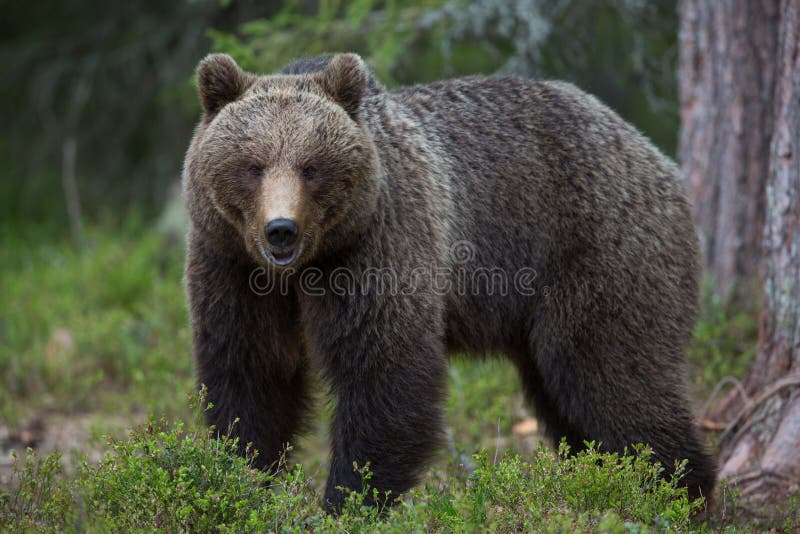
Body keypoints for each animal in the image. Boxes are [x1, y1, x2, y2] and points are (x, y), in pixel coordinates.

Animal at [184, 52, 716, 512]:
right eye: (253, 166)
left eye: (311, 167)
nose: (281, 229)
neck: (299, 271)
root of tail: (657, 158)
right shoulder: (232, 267)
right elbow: (250, 377)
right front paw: (243, 478)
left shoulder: (376, 246)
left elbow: (386, 373)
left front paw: (348, 501)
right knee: (566, 398)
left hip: (597, 253)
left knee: (613, 375)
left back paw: (675, 491)